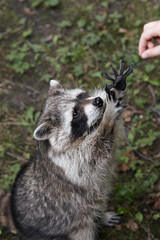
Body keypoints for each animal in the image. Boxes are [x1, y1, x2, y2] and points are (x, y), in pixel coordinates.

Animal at [1, 61, 133, 239]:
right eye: (75, 113)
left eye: (81, 96)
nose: (99, 101)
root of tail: (13, 213)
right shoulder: (74, 163)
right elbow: (98, 148)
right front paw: (109, 116)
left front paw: (115, 90)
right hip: (72, 225)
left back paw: (101, 216)